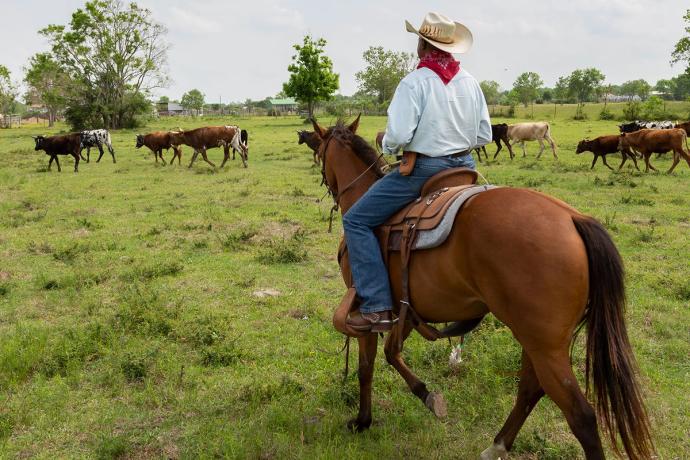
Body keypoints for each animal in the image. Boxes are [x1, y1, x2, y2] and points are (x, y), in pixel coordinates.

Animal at [314, 117, 652, 460]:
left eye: (320, 150)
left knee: (580, 414)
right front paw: (418, 399)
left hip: (544, 345)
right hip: (540, 340)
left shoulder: (370, 314)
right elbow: (389, 353)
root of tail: (573, 217)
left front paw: (366, 419)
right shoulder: (406, 312)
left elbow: (368, 365)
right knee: (531, 388)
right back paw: (497, 444)